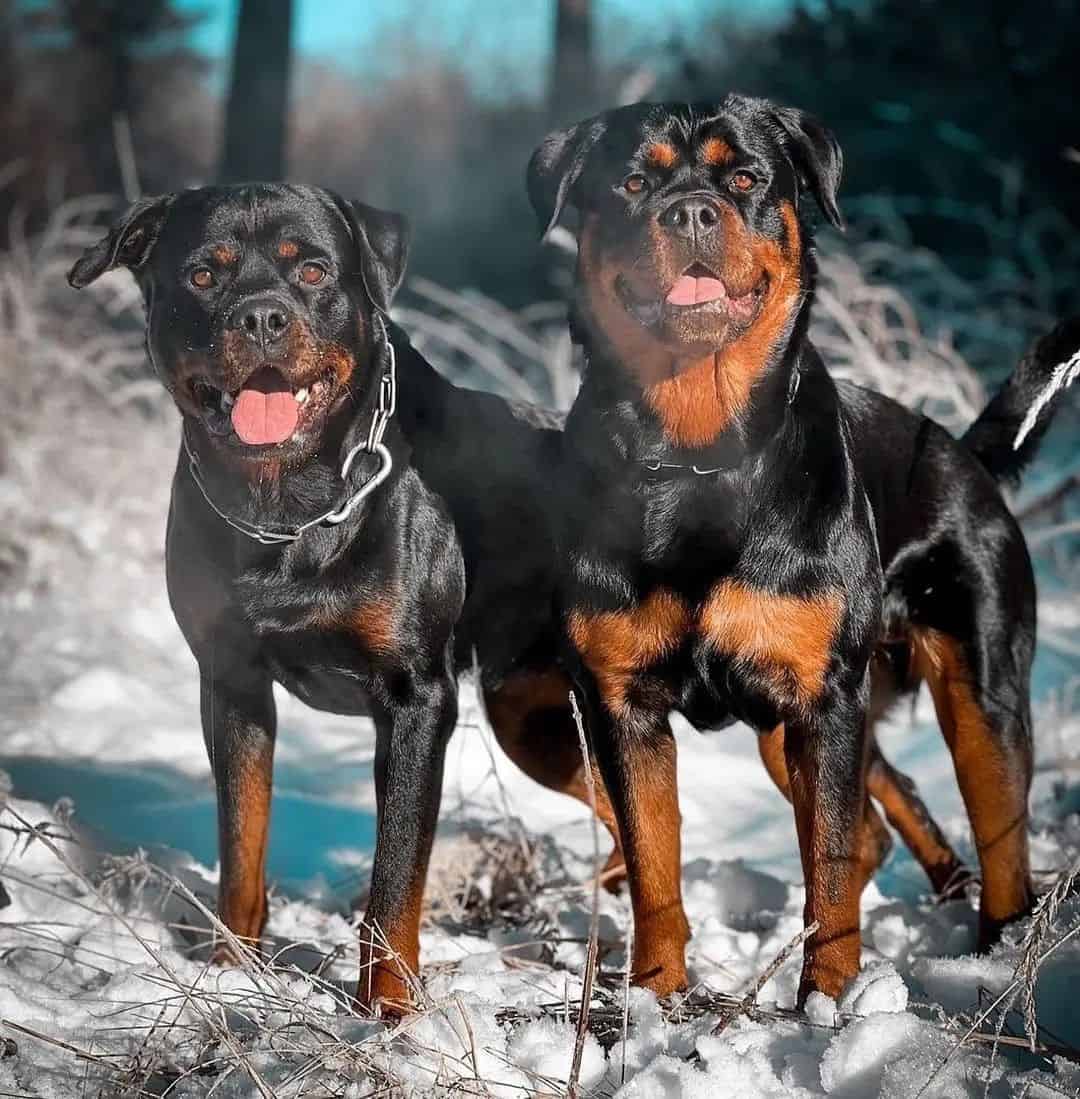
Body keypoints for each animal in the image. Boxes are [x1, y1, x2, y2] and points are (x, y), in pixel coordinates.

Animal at [522, 96, 1072, 1006]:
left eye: (745, 177)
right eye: (631, 183)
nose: (690, 209)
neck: (698, 451)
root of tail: (961, 453)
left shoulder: (824, 698)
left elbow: (830, 866)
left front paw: (826, 1003)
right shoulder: (623, 701)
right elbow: (654, 867)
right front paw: (655, 995)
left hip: (976, 689)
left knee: (996, 837)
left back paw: (995, 957)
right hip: (801, 722)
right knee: (885, 814)